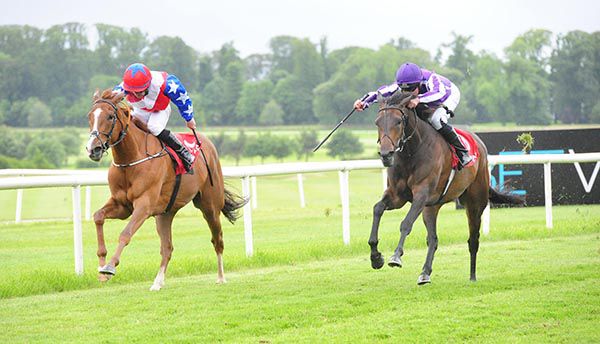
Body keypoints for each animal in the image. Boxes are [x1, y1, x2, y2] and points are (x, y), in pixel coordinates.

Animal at [85, 89, 245, 290]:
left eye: (110, 116)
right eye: (90, 116)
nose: (93, 149)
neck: (131, 159)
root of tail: (205, 142)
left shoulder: (143, 206)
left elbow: (125, 234)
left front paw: (110, 266)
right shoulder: (122, 205)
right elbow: (98, 216)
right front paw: (101, 265)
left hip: (210, 206)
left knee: (218, 240)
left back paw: (221, 277)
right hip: (165, 213)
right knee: (167, 248)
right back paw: (157, 282)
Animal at [368, 90, 524, 284]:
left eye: (398, 121)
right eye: (377, 122)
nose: (386, 154)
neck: (412, 152)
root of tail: (480, 144)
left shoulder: (421, 195)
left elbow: (406, 223)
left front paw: (396, 256)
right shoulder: (397, 196)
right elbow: (377, 209)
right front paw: (375, 257)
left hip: (475, 202)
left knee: (473, 239)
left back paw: (472, 276)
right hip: (431, 207)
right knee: (433, 239)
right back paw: (425, 273)